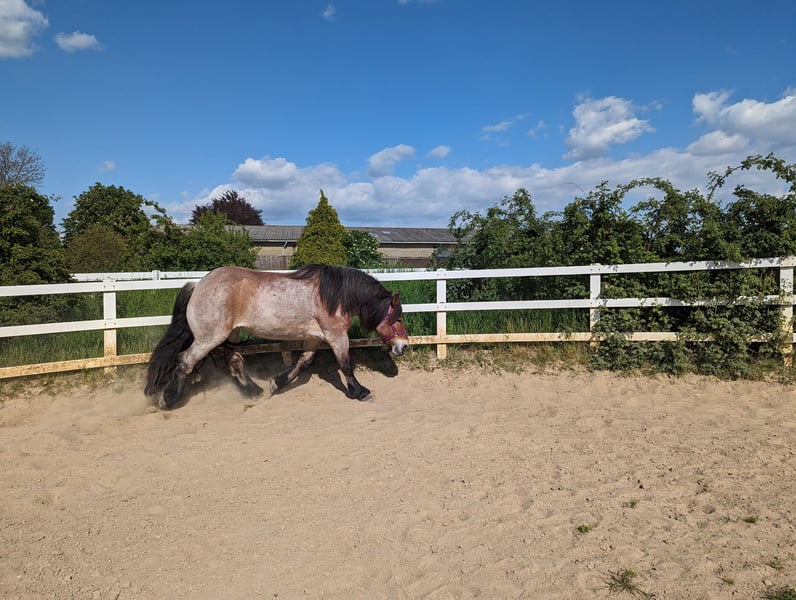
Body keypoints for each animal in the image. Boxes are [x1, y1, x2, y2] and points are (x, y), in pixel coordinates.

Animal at [144, 264, 409, 409]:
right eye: (398, 319)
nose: (404, 346)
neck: (334, 297)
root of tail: (198, 285)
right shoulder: (336, 336)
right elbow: (346, 365)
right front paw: (361, 392)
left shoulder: (314, 337)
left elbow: (304, 362)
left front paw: (276, 383)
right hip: (210, 337)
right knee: (185, 361)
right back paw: (168, 399)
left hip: (231, 334)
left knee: (235, 361)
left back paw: (254, 391)